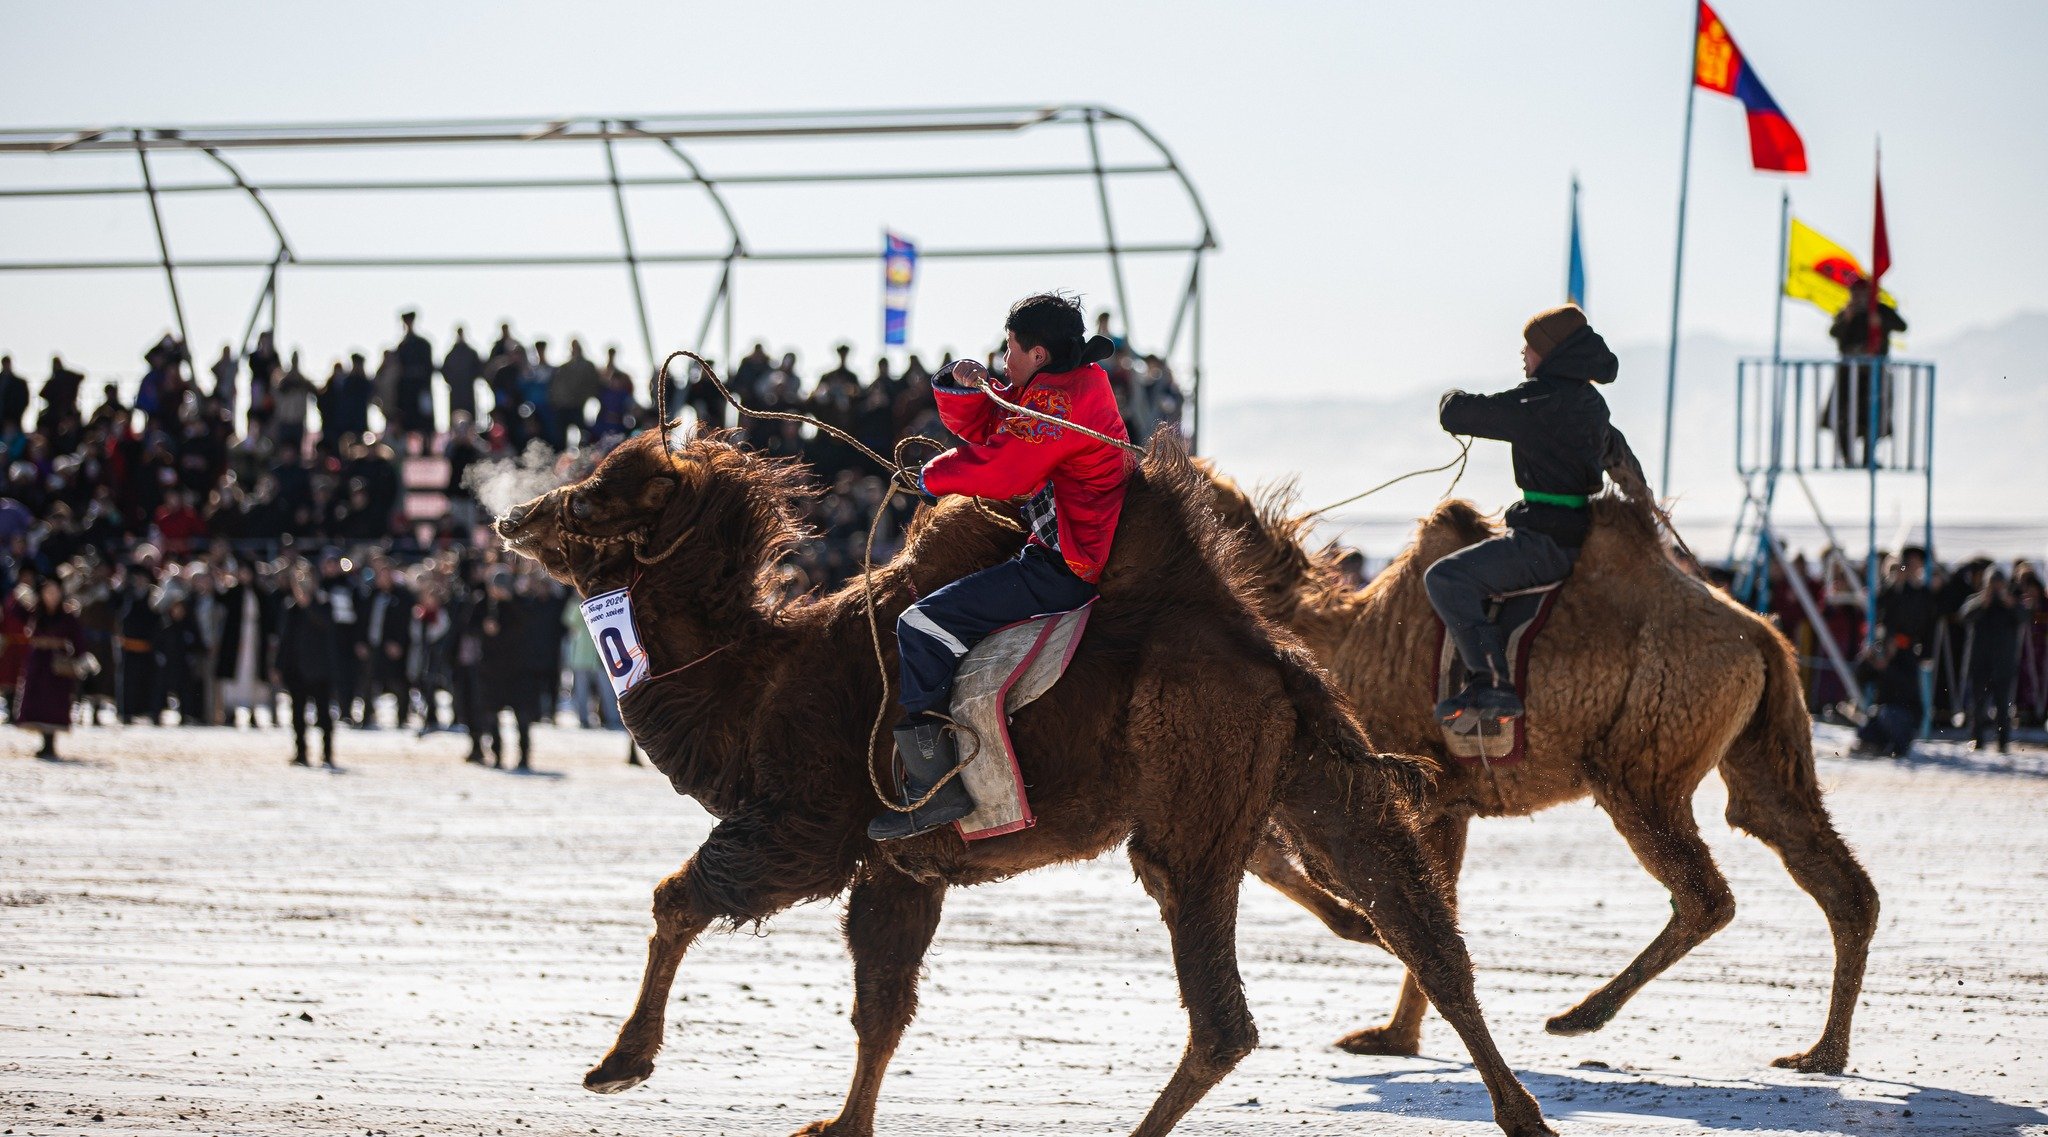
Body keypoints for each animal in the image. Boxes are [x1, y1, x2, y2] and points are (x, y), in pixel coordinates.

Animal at [495, 427, 1553, 1137]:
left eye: (591, 500)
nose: (512, 512)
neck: (753, 676)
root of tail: (1275, 658)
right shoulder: (900, 867)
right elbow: (880, 1006)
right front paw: (840, 1125)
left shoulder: (803, 828)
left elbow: (680, 896)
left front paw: (619, 1063)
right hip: (1313, 785)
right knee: (1423, 935)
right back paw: (1523, 1113)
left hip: (1192, 808)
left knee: (1226, 1015)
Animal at [1203, 472, 1880, 1074]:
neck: (1333, 637)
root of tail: (1763, 634)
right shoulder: (1445, 802)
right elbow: (1432, 903)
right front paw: (1393, 1036)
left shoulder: (1380, 789)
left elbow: (1368, 889)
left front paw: (1379, 994)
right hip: (1762, 750)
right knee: (1823, 868)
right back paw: (1822, 1054)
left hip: (1640, 767)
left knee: (1705, 894)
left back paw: (1578, 1017)